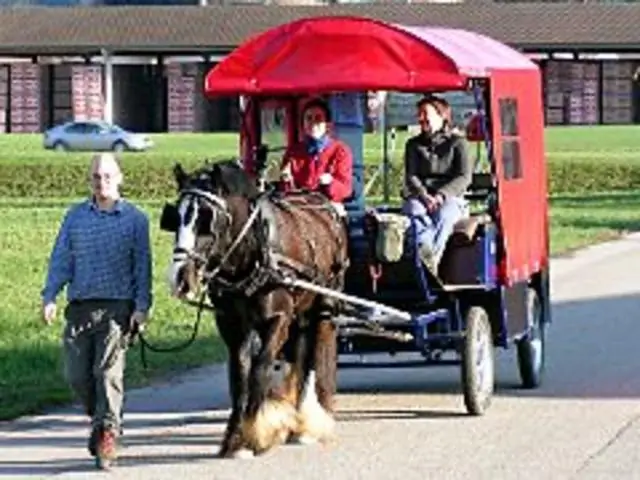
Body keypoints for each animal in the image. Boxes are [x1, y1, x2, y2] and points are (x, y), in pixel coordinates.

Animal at [160, 160, 350, 458]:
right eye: (175, 217)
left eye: (207, 218)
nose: (180, 278)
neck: (251, 255)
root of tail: (323, 203)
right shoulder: (232, 326)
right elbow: (240, 376)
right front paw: (235, 439)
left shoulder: (278, 319)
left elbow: (260, 368)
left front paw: (256, 433)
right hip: (300, 313)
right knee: (299, 356)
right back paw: (296, 422)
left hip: (323, 306)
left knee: (315, 356)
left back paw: (310, 422)